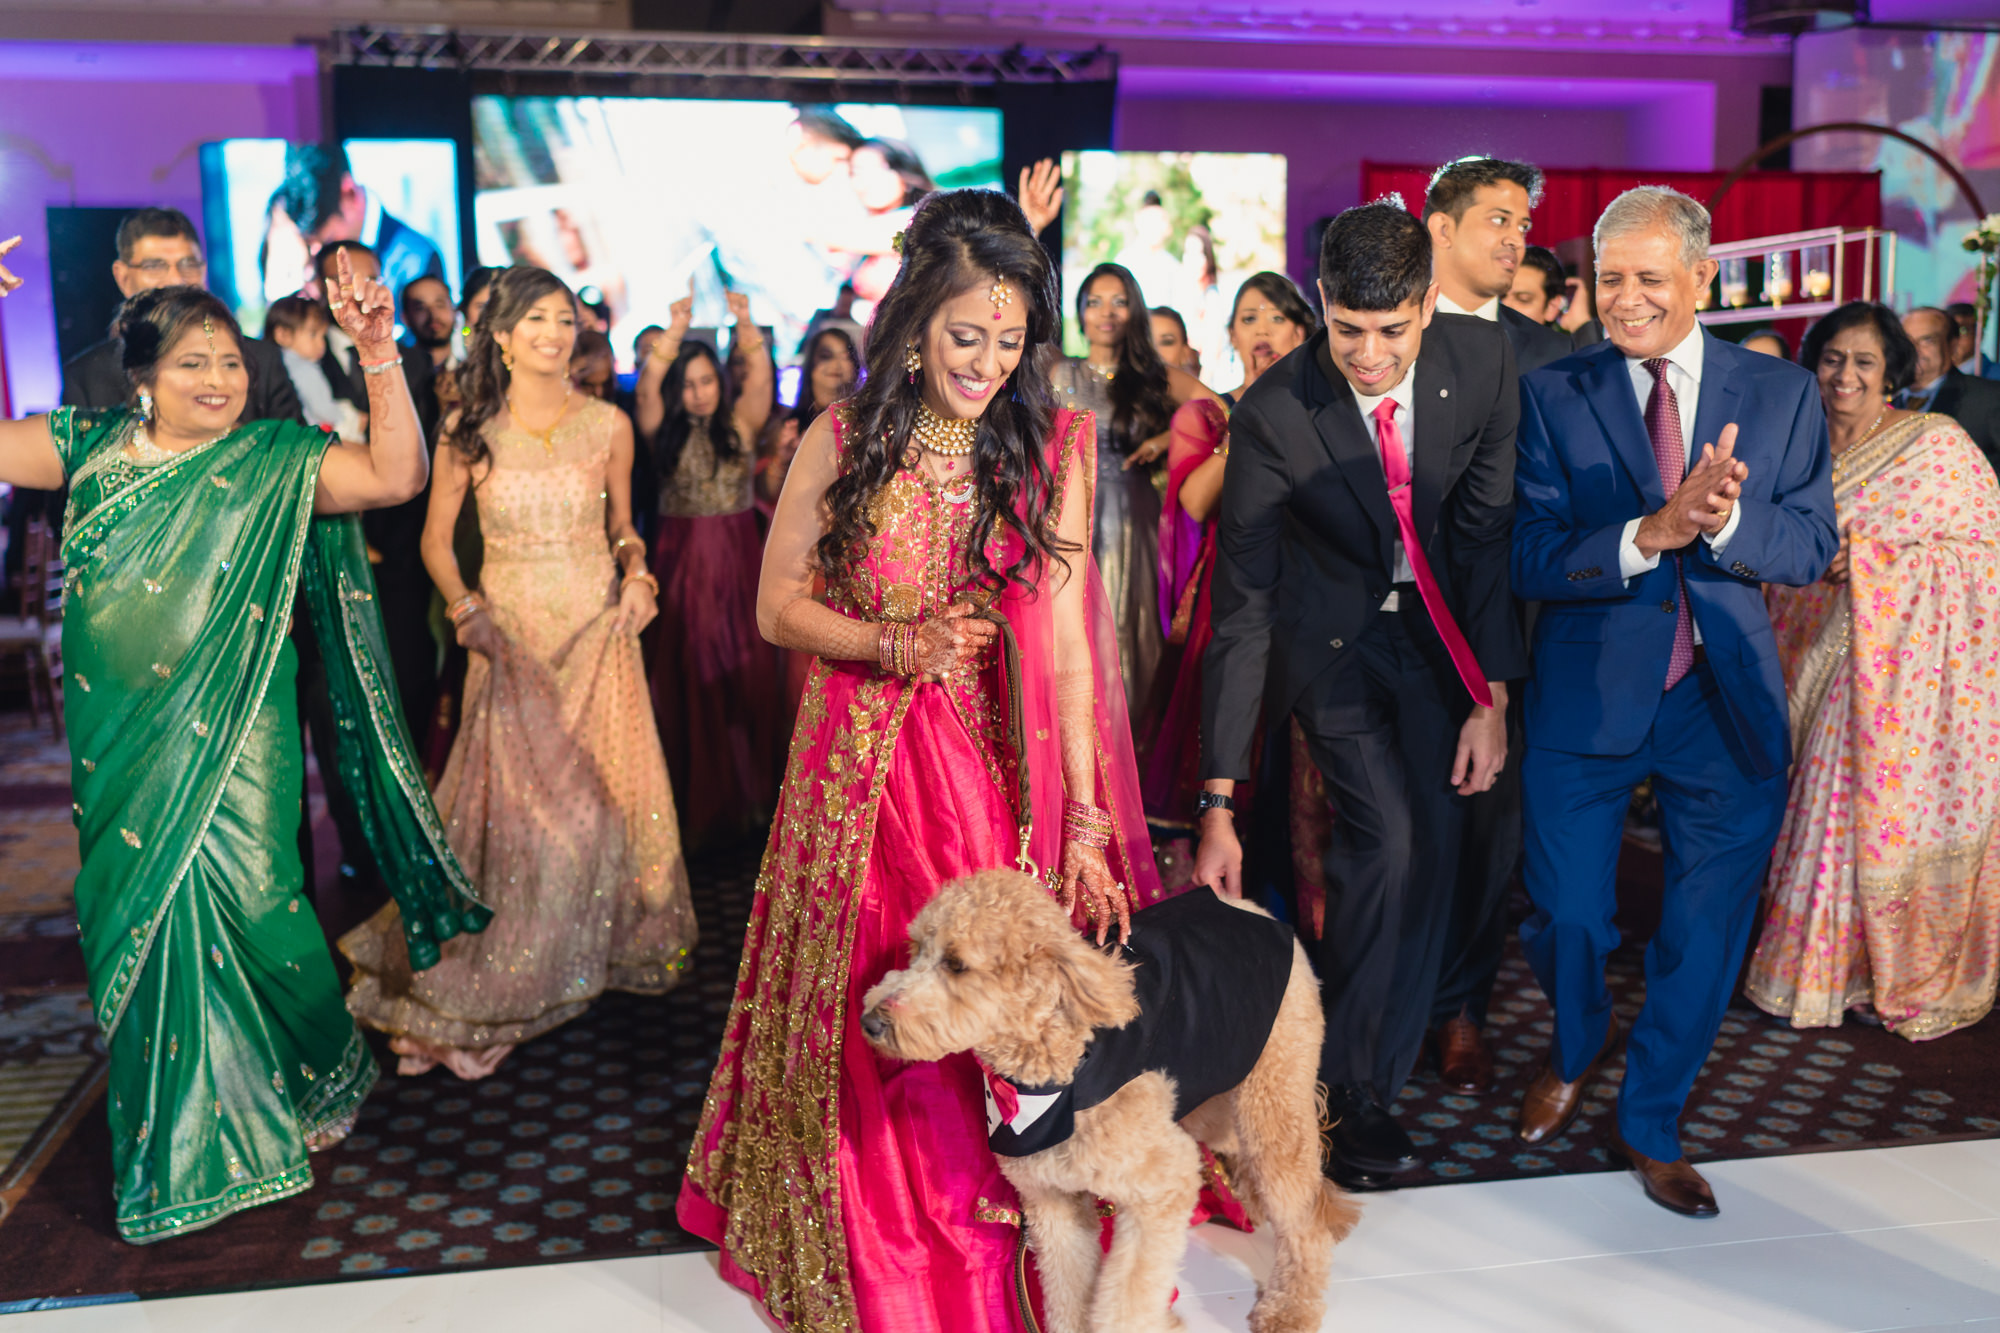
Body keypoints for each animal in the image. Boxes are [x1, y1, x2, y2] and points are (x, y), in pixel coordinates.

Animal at [860, 868, 1360, 1328]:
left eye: (956, 964)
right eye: (915, 951)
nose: (869, 1021)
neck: (1056, 1068)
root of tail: (1257, 911)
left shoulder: (1163, 1186)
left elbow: (1126, 1305)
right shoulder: (1053, 1202)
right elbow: (1068, 1294)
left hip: (1272, 1100)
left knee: (1303, 1215)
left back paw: (1290, 1307)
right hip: (1219, 1100)